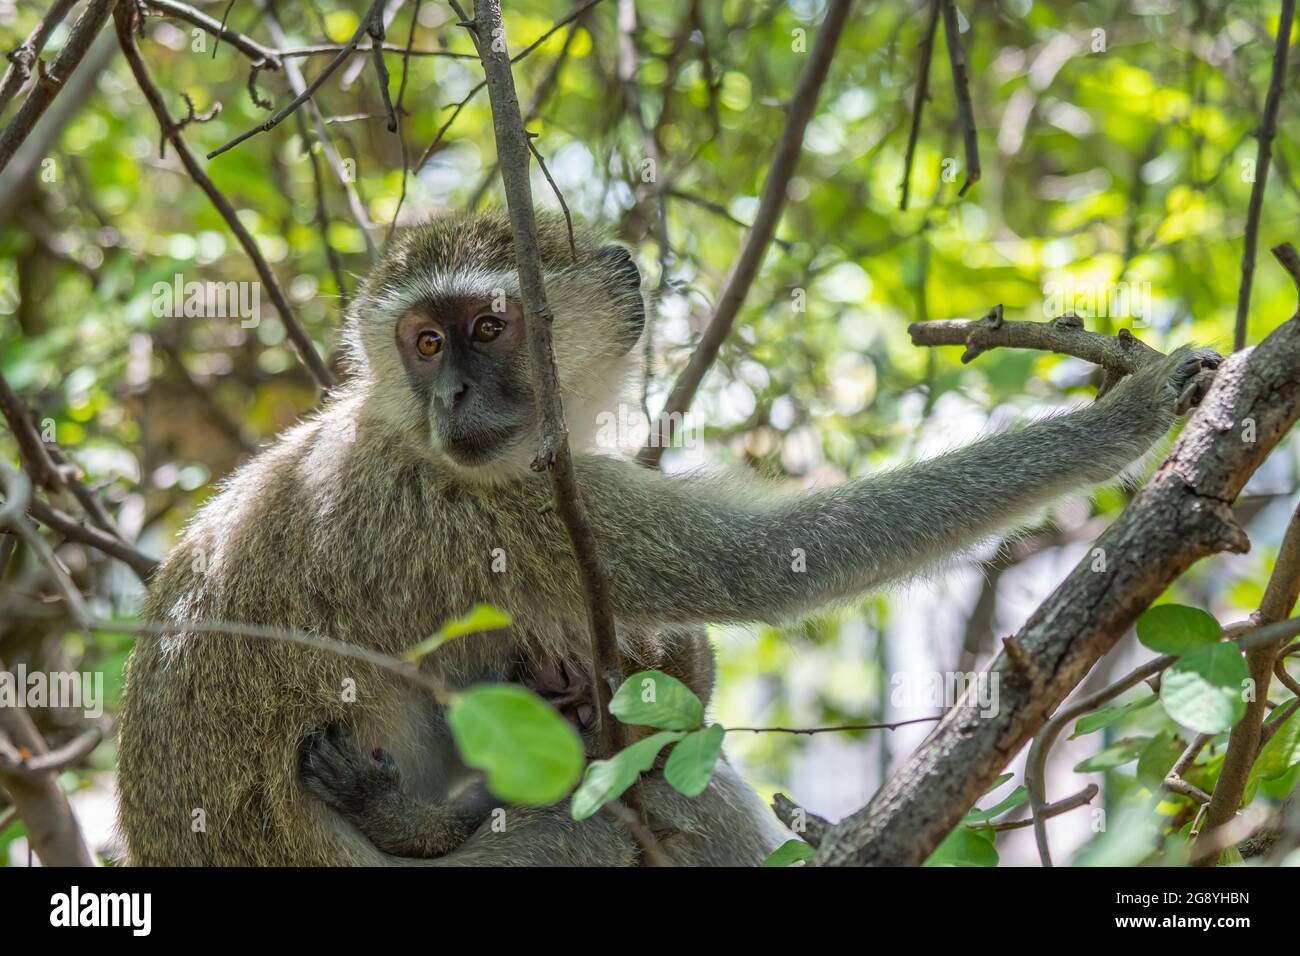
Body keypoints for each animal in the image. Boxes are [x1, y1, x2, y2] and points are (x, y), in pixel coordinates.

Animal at [115, 210, 1219, 866]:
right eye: (425, 342)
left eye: (486, 327)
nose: (452, 397)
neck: (398, 431)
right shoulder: (511, 504)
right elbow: (765, 565)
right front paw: (1123, 420)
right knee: (641, 804)